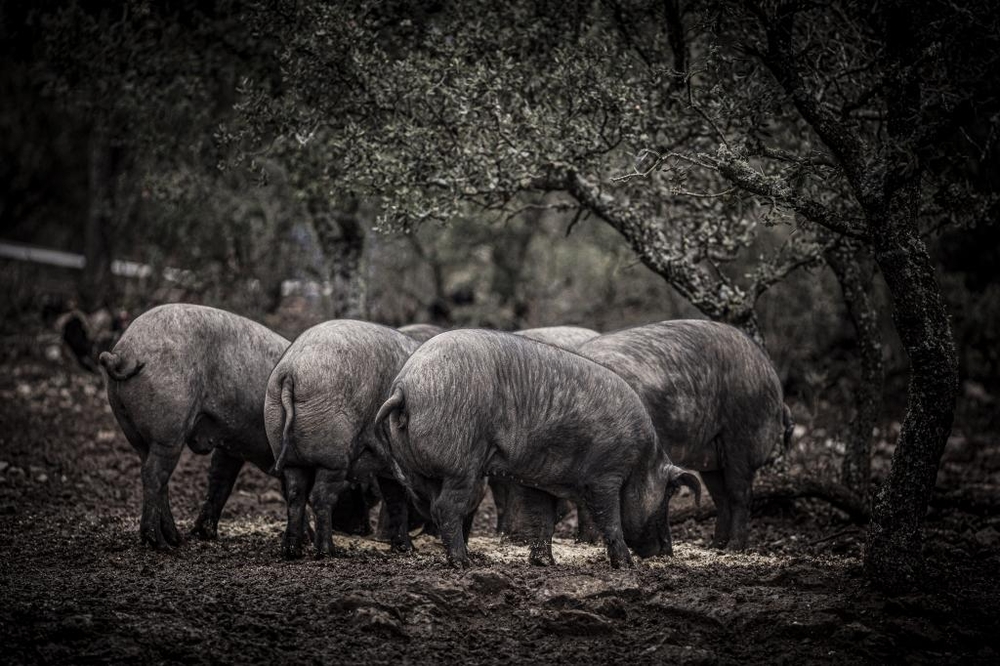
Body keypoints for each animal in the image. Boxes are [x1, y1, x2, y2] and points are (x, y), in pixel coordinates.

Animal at [99, 304, 290, 548]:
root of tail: (123, 353)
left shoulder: (231, 444)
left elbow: (221, 480)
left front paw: (204, 534)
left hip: (134, 431)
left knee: (157, 476)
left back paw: (176, 539)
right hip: (169, 428)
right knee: (153, 475)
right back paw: (160, 543)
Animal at [264, 320, 420, 556]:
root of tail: (290, 371)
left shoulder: (388, 469)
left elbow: (396, 500)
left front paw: (405, 549)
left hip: (285, 445)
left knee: (295, 495)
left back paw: (291, 550)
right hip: (333, 456)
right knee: (320, 497)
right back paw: (327, 550)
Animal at [372, 326, 700, 564]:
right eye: (669, 492)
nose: (667, 551)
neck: (642, 459)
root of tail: (404, 386)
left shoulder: (541, 479)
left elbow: (544, 520)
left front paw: (544, 563)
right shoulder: (606, 474)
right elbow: (609, 518)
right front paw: (626, 565)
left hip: (414, 467)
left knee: (427, 503)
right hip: (460, 463)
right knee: (445, 508)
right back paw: (464, 562)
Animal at [580, 320, 788, 548]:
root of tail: (772, 377)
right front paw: (584, 541)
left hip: (743, 433)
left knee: (740, 494)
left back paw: (734, 547)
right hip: (711, 455)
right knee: (721, 497)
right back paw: (715, 546)